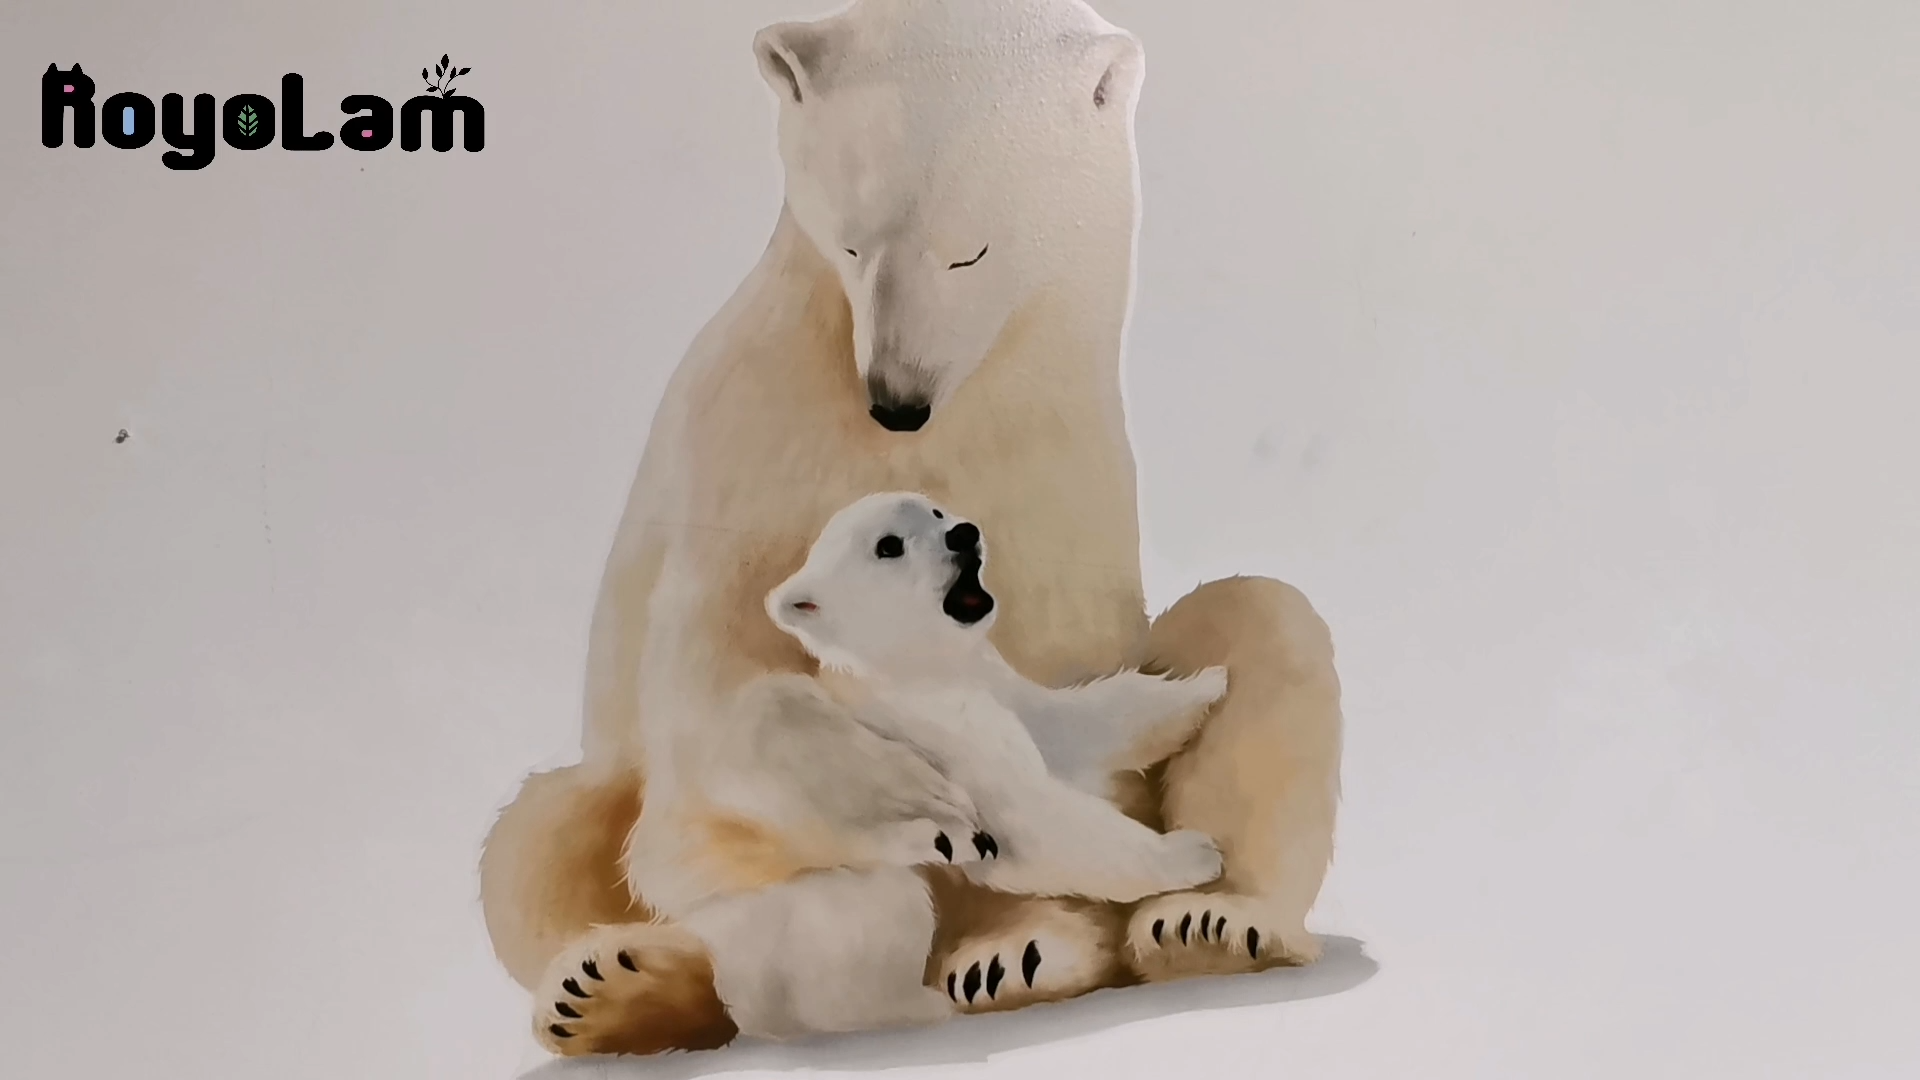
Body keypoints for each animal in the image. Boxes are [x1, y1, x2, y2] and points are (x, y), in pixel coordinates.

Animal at [478, 0, 1344, 1058]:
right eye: (850, 245)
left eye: (970, 250)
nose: (897, 402)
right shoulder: (748, 438)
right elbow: (719, 672)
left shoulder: (1065, 470)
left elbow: (1074, 694)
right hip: (619, 796)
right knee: (546, 833)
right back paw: (617, 985)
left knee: (1265, 613)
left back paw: (1164, 932)